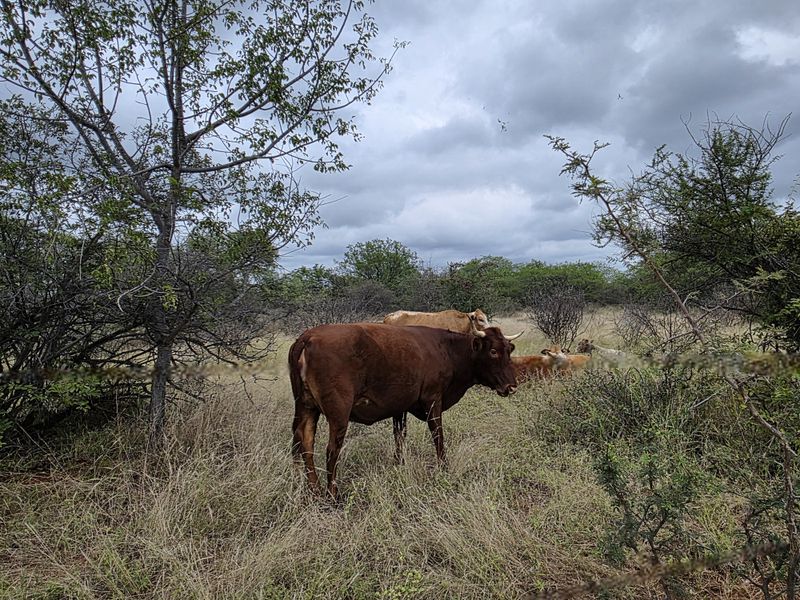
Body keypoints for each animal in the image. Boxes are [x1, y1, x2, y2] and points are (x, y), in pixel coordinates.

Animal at [288, 322, 517, 498]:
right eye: (493, 351)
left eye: (509, 350)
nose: (512, 386)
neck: (446, 349)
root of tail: (308, 337)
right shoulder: (433, 400)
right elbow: (438, 436)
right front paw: (443, 467)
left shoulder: (400, 407)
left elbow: (400, 436)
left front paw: (399, 463)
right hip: (339, 414)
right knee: (331, 450)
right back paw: (332, 494)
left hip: (306, 407)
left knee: (304, 443)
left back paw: (313, 489)